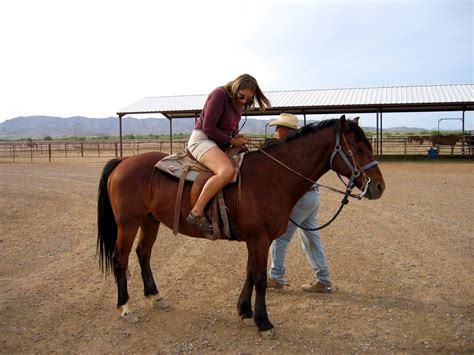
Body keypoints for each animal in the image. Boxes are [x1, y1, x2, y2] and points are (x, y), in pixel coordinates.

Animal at [96, 117, 386, 340]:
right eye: (359, 148)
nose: (379, 186)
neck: (271, 178)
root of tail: (123, 161)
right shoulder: (259, 239)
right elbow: (259, 279)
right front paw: (264, 323)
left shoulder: (257, 240)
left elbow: (249, 274)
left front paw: (245, 311)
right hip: (128, 223)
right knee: (120, 259)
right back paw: (125, 307)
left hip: (149, 221)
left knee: (143, 254)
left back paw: (155, 297)